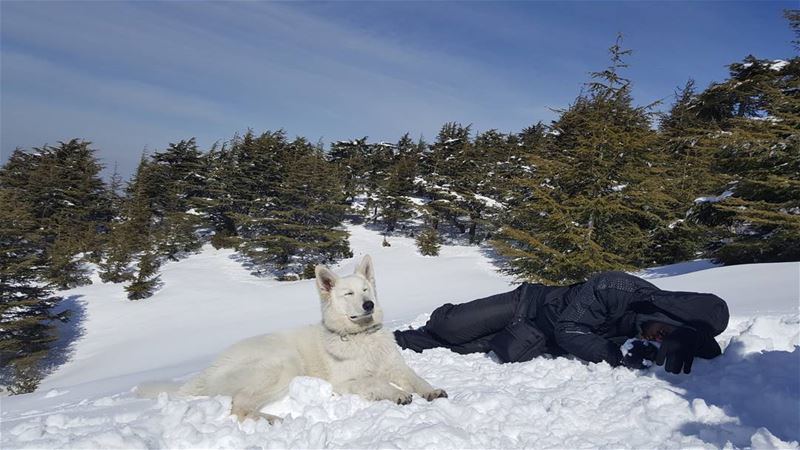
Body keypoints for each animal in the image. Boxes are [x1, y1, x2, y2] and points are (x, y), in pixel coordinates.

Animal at [140, 256, 446, 422]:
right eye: (348, 294)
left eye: (365, 289)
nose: (368, 304)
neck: (361, 337)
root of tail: (210, 369)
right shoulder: (346, 382)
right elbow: (376, 382)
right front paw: (397, 394)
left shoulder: (396, 367)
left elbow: (416, 378)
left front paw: (431, 390)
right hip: (282, 364)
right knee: (239, 406)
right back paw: (273, 421)